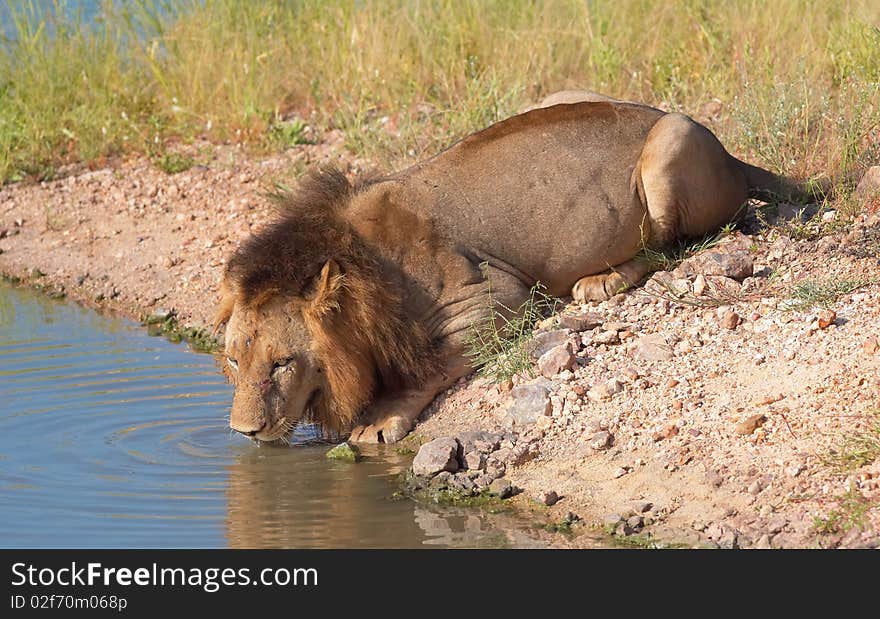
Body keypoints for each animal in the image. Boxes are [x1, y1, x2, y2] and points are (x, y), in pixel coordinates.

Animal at [215, 94, 812, 444]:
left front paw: (380, 419)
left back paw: (599, 282)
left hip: (671, 144)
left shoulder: (492, 296)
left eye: (282, 363)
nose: (242, 431)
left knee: (674, 246)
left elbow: (432, 365)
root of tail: (731, 154)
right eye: (233, 360)